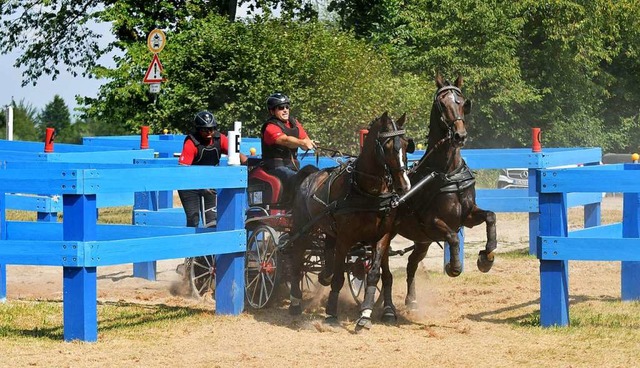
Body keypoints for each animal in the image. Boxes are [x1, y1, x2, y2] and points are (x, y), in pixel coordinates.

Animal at [284, 110, 410, 326]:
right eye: (387, 146)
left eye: (405, 144)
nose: (404, 185)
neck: (366, 191)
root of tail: (309, 175)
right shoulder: (345, 238)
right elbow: (339, 277)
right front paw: (331, 313)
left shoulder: (382, 236)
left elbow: (373, 273)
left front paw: (365, 314)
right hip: (302, 230)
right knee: (298, 261)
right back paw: (295, 302)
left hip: (328, 228)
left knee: (327, 252)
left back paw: (323, 277)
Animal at [370, 74, 500, 320]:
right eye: (442, 103)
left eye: (462, 102)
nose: (459, 135)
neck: (447, 172)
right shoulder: (433, 223)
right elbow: (452, 237)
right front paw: (453, 267)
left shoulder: (467, 216)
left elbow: (490, 217)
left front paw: (486, 258)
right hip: (391, 235)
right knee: (385, 269)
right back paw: (388, 307)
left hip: (422, 241)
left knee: (411, 264)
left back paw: (410, 301)